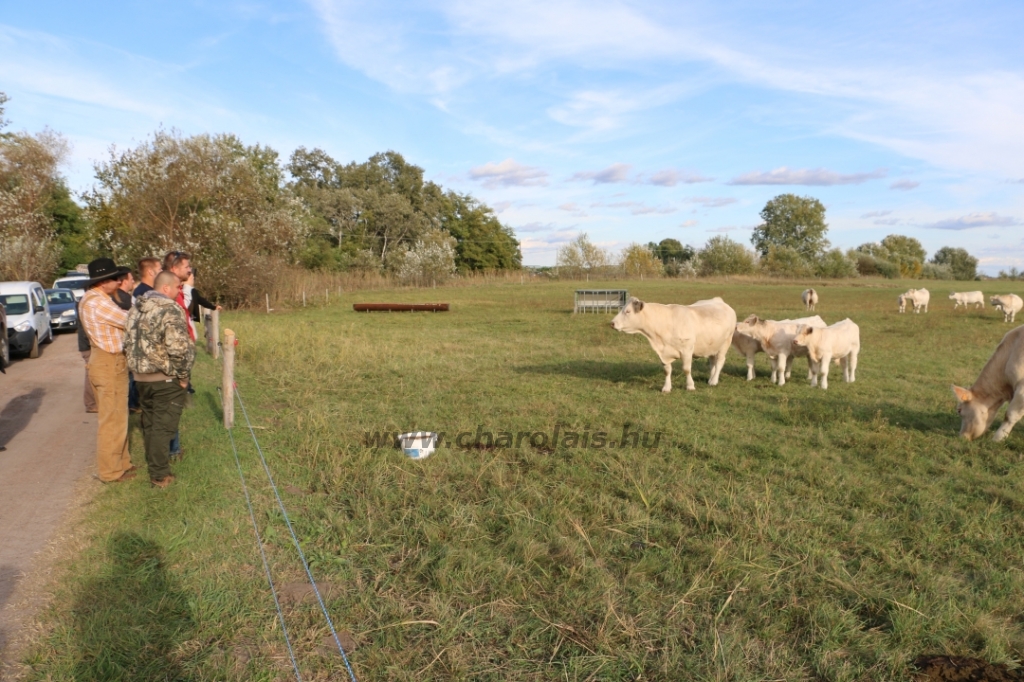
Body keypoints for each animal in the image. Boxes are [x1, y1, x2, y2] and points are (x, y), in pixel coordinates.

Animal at [606, 294, 737, 391]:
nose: (612, 323)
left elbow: (686, 369)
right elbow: (667, 370)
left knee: (720, 361)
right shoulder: (663, 353)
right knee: (712, 362)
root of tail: (719, 301)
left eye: (628, 311)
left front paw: (690, 386)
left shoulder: (687, 350)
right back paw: (711, 378)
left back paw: (714, 381)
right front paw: (666, 388)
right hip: (712, 345)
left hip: (726, 342)